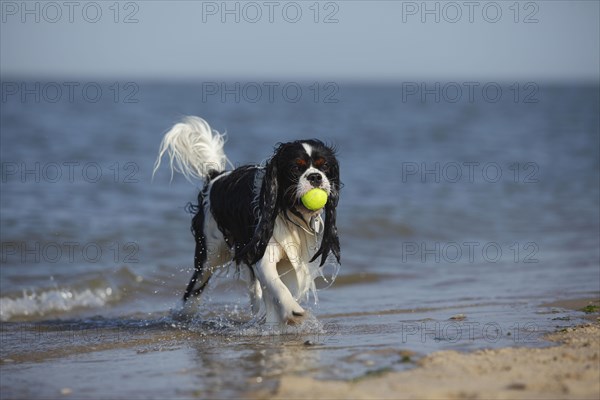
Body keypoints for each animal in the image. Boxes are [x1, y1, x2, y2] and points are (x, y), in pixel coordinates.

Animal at [154, 116, 342, 324]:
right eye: (295, 168)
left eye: (324, 166)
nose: (315, 177)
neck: (288, 211)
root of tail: (216, 176)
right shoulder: (263, 251)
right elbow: (277, 285)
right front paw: (293, 311)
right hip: (209, 253)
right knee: (195, 287)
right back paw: (181, 313)